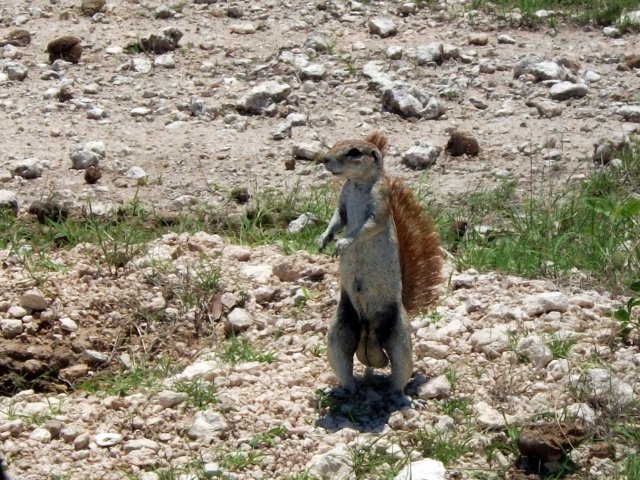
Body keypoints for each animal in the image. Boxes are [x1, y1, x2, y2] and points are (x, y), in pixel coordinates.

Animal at [318, 132, 442, 394]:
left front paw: (343, 242)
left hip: (400, 338)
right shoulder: (343, 200)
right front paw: (323, 238)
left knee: (400, 373)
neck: (357, 184)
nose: (324, 159)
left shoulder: (381, 201)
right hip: (338, 333)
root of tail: (370, 338)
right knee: (346, 369)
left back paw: (397, 396)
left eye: (354, 152)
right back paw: (344, 391)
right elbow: (337, 219)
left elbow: (367, 226)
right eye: (336, 143)